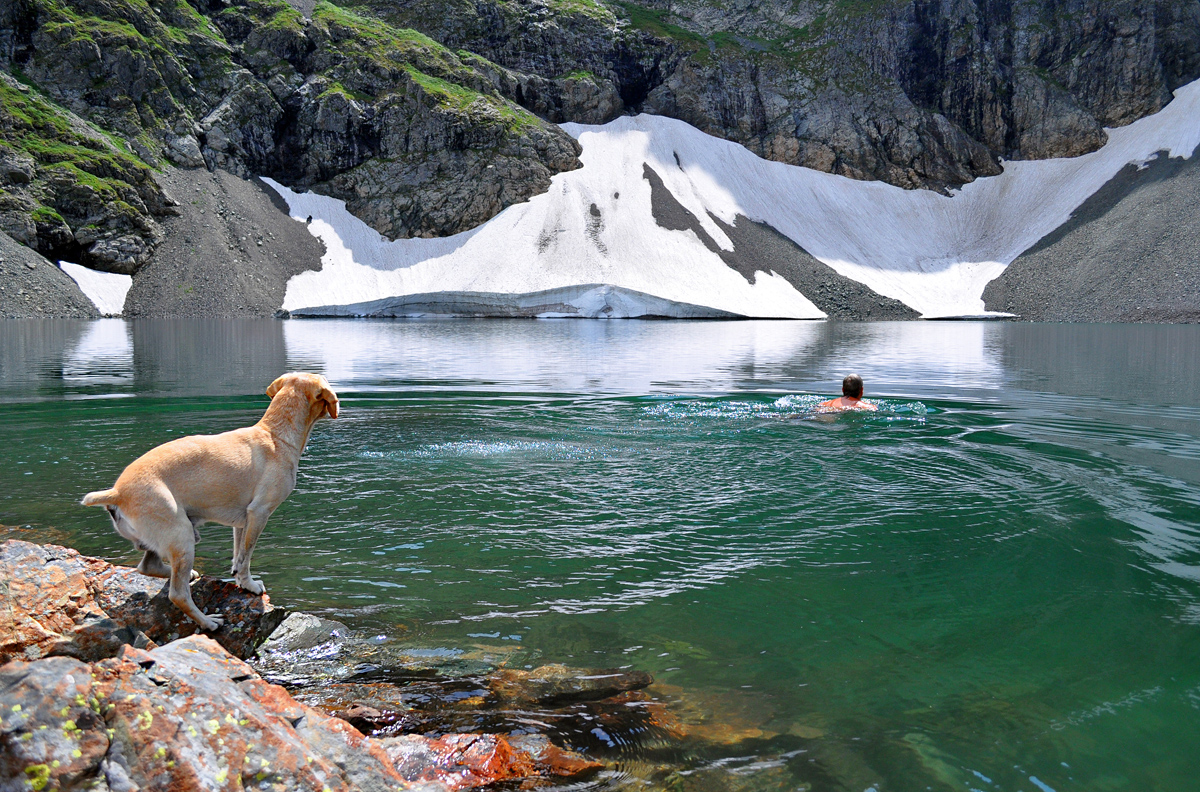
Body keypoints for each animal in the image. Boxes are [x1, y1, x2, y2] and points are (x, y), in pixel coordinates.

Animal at [82, 372, 338, 628]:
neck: (275, 434)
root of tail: (117, 492)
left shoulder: (242, 521)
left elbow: (238, 553)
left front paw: (239, 579)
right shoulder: (259, 513)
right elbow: (246, 556)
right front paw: (250, 585)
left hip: (165, 538)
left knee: (148, 566)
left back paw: (190, 576)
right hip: (181, 536)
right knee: (178, 594)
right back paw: (208, 621)